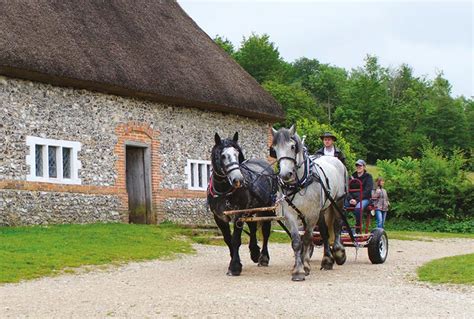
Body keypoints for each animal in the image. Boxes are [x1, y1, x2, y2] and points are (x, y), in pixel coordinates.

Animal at [207, 132, 278, 278]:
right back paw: (255, 252)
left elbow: (235, 240)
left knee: (265, 231)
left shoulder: (238, 214)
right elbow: (228, 240)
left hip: (267, 208)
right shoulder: (219, 217)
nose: (238, 180)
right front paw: (235, 261)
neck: (224, 191)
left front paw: (234, 267)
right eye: (222, 155)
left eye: (237, 153)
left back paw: (263, 257)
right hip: (251, 209)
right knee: (252, 227)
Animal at [270, 126, 348, 282]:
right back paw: (327, 260)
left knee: (337, 225)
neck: (300, 183)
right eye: (274, 149)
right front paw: (298, 269)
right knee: (324, 232)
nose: (285, 175)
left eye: (292, 147)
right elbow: (297, 241)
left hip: (338, 201)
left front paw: (304, 267)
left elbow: (306, 239)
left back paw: (338, 252)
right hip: (322, 209)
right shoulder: (291, 214)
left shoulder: (312, 214)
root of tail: (333, 159)